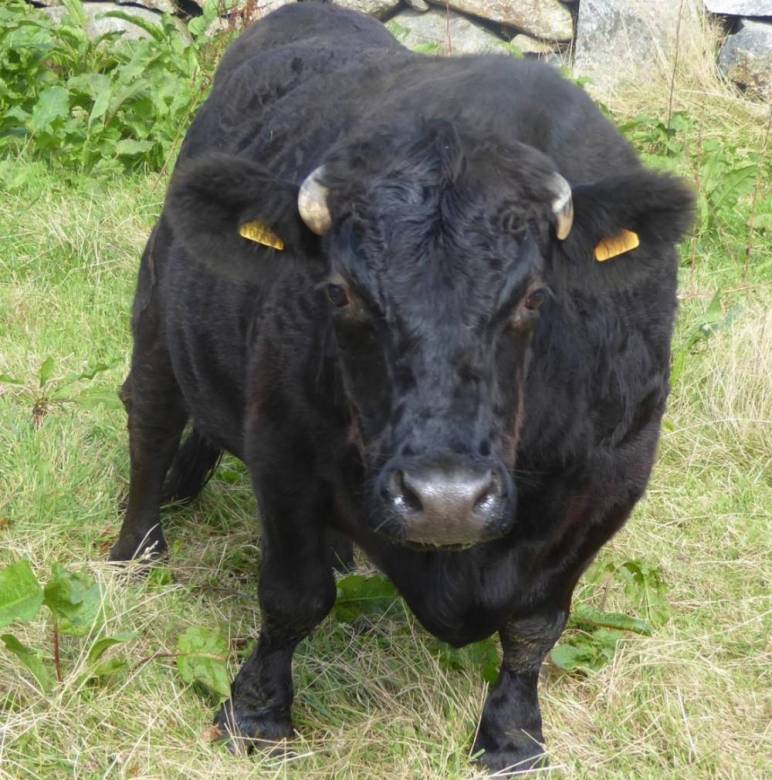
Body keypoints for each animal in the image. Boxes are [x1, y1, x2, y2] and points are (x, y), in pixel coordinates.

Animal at [110, 1, 694, 772]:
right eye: (341, 291)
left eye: (535, 296)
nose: (445, 500)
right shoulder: (284, 449)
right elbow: (293, 598)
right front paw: (256, 716)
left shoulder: (612, 475)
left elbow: (536, 624)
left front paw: (512, 737)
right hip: (157, 309)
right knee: (149, 420)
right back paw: (136, 553)